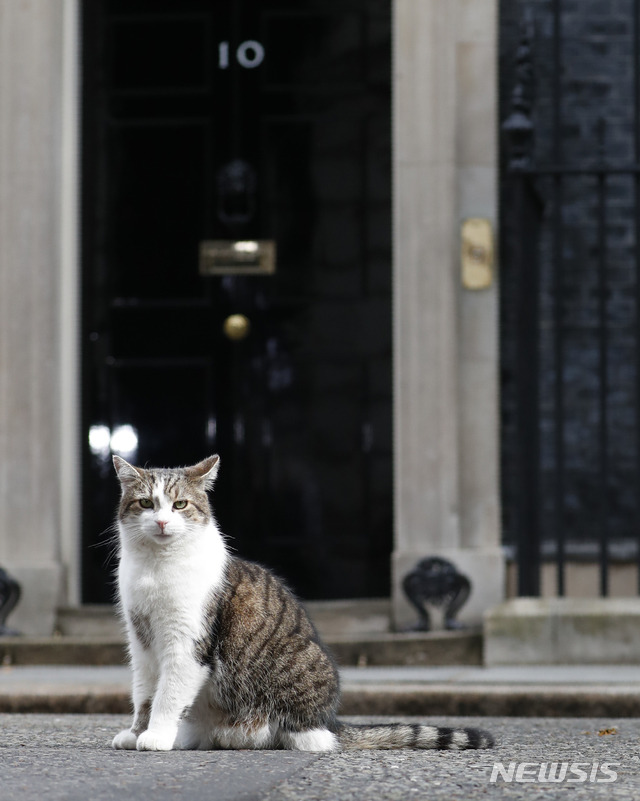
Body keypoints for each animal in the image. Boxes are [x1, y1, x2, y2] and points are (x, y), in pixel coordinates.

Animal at [110, 456, 492, 752]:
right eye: (146, 504)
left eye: (180, 505)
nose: (162, 522)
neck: (155, 568)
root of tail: (331, 721)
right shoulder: (141, 641)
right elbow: (144, 694)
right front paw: (136, 732)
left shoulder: (187, 641)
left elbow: (168, 694)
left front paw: (156, 735)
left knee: (311, 739)